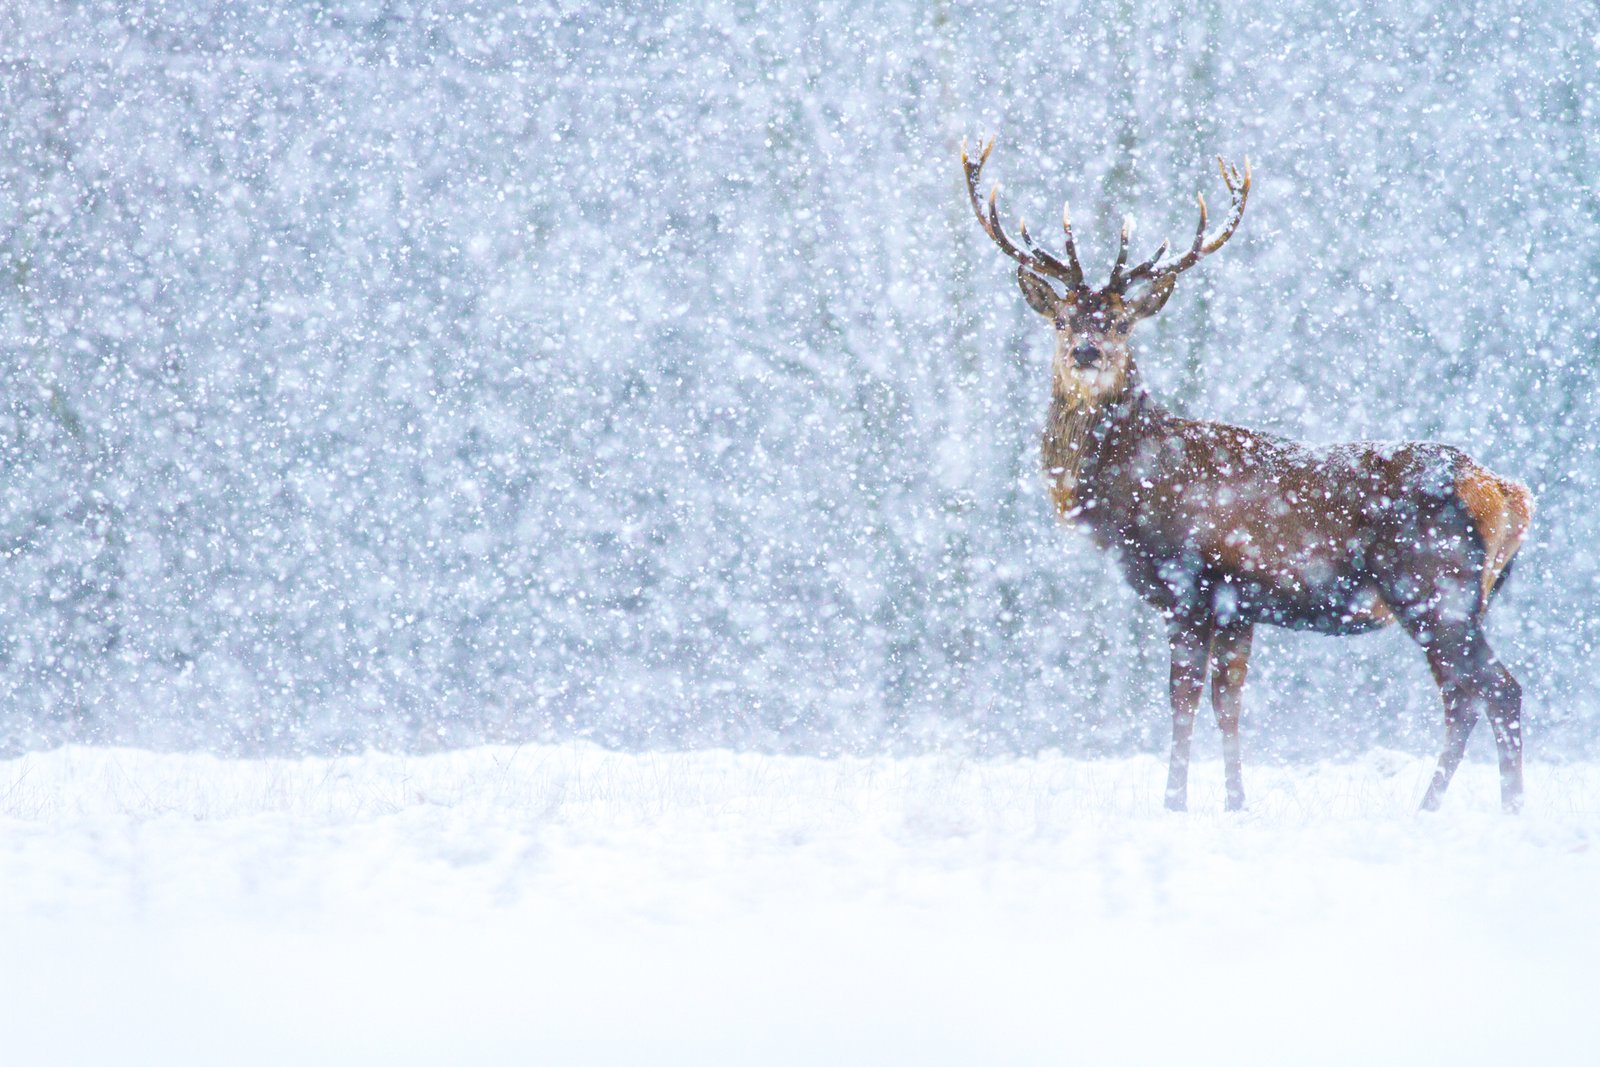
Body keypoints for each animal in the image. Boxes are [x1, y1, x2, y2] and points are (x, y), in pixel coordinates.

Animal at [962, 136, 1533, 813]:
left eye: (1122, 322)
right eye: (1063, 319)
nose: (1086, 352)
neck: (1132, 492)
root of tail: (1507, 493)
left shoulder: (1188, 583)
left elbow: (1182, 701)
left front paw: (1174, 802)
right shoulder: (1239, 606)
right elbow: (1227, 704)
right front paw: (1236, 802)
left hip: (1434, 588)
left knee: (1495, 690)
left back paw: (1468, 809)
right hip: (1457, 600)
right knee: (1472, 695)